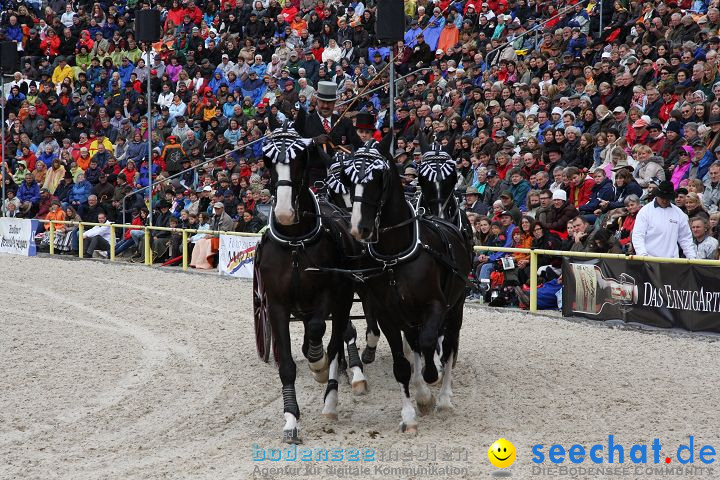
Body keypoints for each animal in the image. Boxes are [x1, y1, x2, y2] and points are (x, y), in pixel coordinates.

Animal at [258, 122, 358, 444]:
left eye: (300, 159)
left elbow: (318, 331)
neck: (294, 242)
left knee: (337, 339)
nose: (284, 213)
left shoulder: (327, 295)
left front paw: (317, 363)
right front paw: (290, 420)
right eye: (268, 162)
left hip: (343, 299)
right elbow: (288, 366)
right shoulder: (276, 304)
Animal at [342, 137, 472, 434]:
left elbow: (431, 344)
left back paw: (444, 398)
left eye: (378, 178)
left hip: (455, 307)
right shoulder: (388, 315)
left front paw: (431, 381)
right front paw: (412, 410)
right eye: (348, 178)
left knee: (448, 346)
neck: (395, 255)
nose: (359, 228)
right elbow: (402, 365)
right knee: (415, 345)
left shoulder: (436, 306)